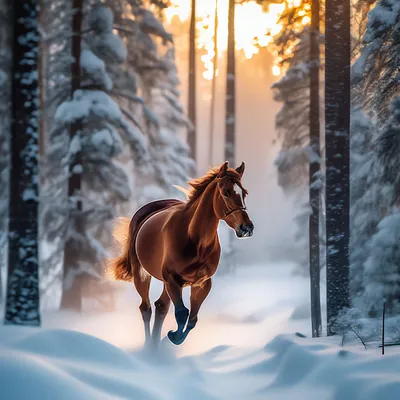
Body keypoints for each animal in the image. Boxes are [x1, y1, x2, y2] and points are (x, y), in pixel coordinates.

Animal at [108, 161, 253, 346]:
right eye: (226, 192)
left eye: (244, 193)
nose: (247, 228)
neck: (196, 241)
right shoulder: (173, 279)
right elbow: (182, 313)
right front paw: (173, 335)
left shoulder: (202, 284)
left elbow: (192, 319)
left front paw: (173, 337)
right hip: (142, 275)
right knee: (146, 308)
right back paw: (149, 346)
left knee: (161, 306)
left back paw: (155, 346)